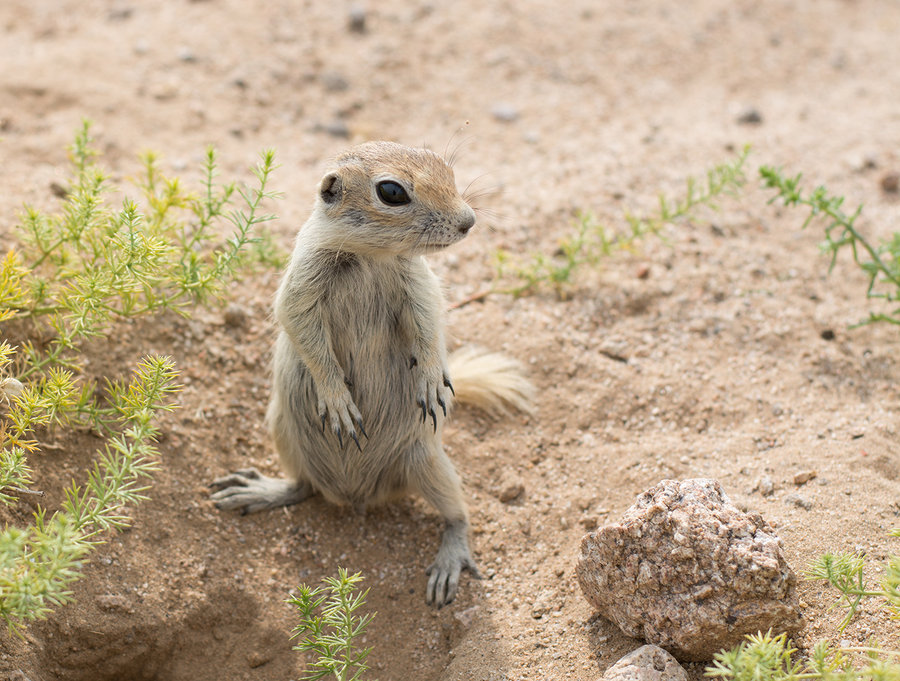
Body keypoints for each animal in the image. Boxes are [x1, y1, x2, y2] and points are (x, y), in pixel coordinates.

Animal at [209, 141, 536, 604]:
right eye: (391, 192)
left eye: (446, 168)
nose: (469, 221)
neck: (369, 256)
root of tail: (357, 497)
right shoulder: (303, 281)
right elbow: (302, 328)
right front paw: (339, 403)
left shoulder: (417, 280)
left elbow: (430, 323)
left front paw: (432, 381)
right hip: (284, 432)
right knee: (301, 486)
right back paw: (257, 489)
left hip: (427, 461)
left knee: (458, 515)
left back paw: (448, 563)